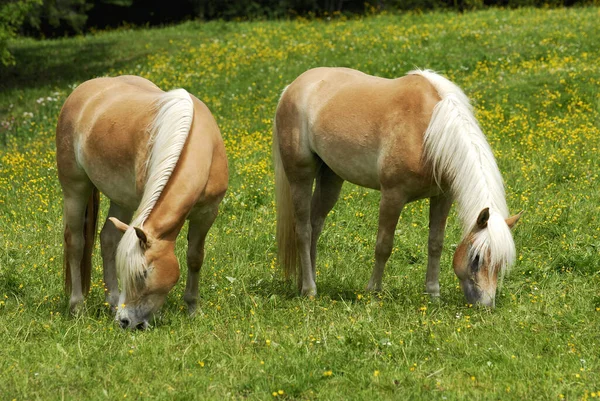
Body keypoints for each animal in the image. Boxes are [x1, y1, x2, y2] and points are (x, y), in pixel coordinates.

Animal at [56, 75, 227, 328]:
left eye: (143, 273)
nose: (125, 321)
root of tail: (83, 90)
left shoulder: (207, 213)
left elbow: (195, 257)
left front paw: (193, 309)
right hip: (75, 189)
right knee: (75, 244)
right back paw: (77, 307)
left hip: (122, 201)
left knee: (108, 238)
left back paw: (112, 302)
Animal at [274, 68, 524, 306]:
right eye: (476, 258)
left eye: (501, 263)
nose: (485, 305)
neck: (428, 130)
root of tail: (292, 87)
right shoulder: (393, 196)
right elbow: (383, 246)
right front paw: (373, 294)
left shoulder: (443, 196)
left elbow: (435, 244)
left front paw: (433, 294)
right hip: (300, 176)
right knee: (304, 230)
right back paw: (309, 290)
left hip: (331, 178)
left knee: (316, 225)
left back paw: (306, 281)